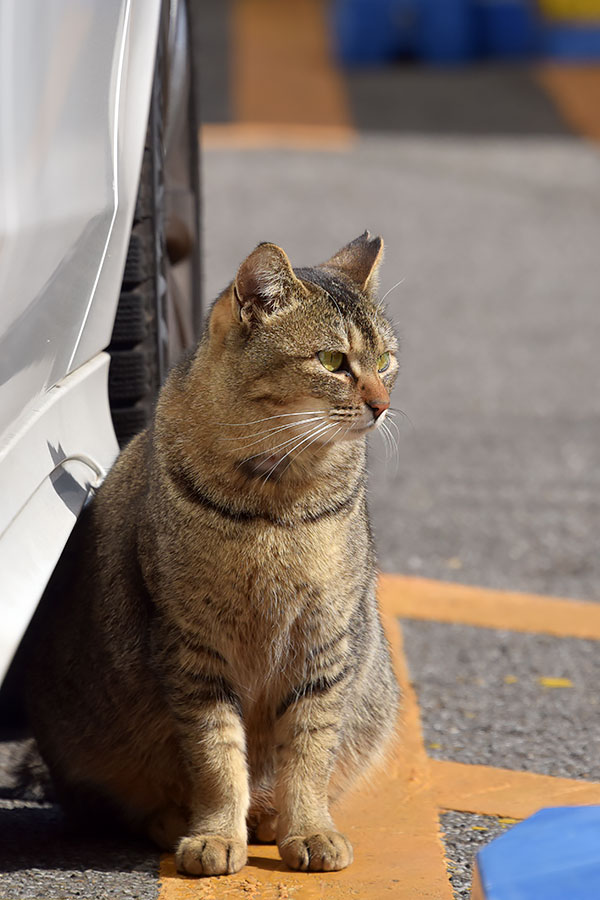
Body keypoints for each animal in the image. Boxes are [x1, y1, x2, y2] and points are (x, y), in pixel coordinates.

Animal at [24, 230, 398, 872]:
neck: (278, 498)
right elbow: (217, 756)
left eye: (384, 362)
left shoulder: (325, 642)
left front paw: (309, 828)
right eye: (332, 362)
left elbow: (309, 753)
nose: (380, 404)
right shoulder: (192, 649)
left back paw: (268, 819)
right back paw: (179, 820)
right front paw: (218, 834)